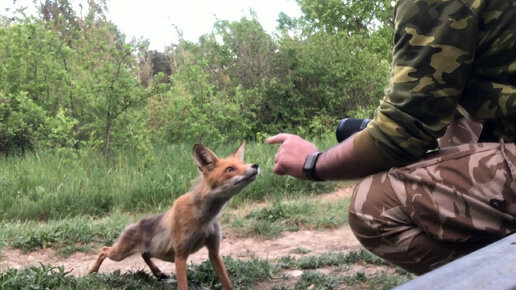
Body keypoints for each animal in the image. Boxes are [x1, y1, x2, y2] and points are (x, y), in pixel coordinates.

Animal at [88, 143, 260, 290]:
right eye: (229, 169)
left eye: (243, 164)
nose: (255, 165)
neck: (204, 217)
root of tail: (134, 223)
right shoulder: (180, 254)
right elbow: (183, 285)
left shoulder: (214, 252)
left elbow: (227, 283)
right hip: (119, 254)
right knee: (104, 250)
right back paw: (92, 272)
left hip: (154, 250)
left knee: (144, 254)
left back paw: (158, 272)